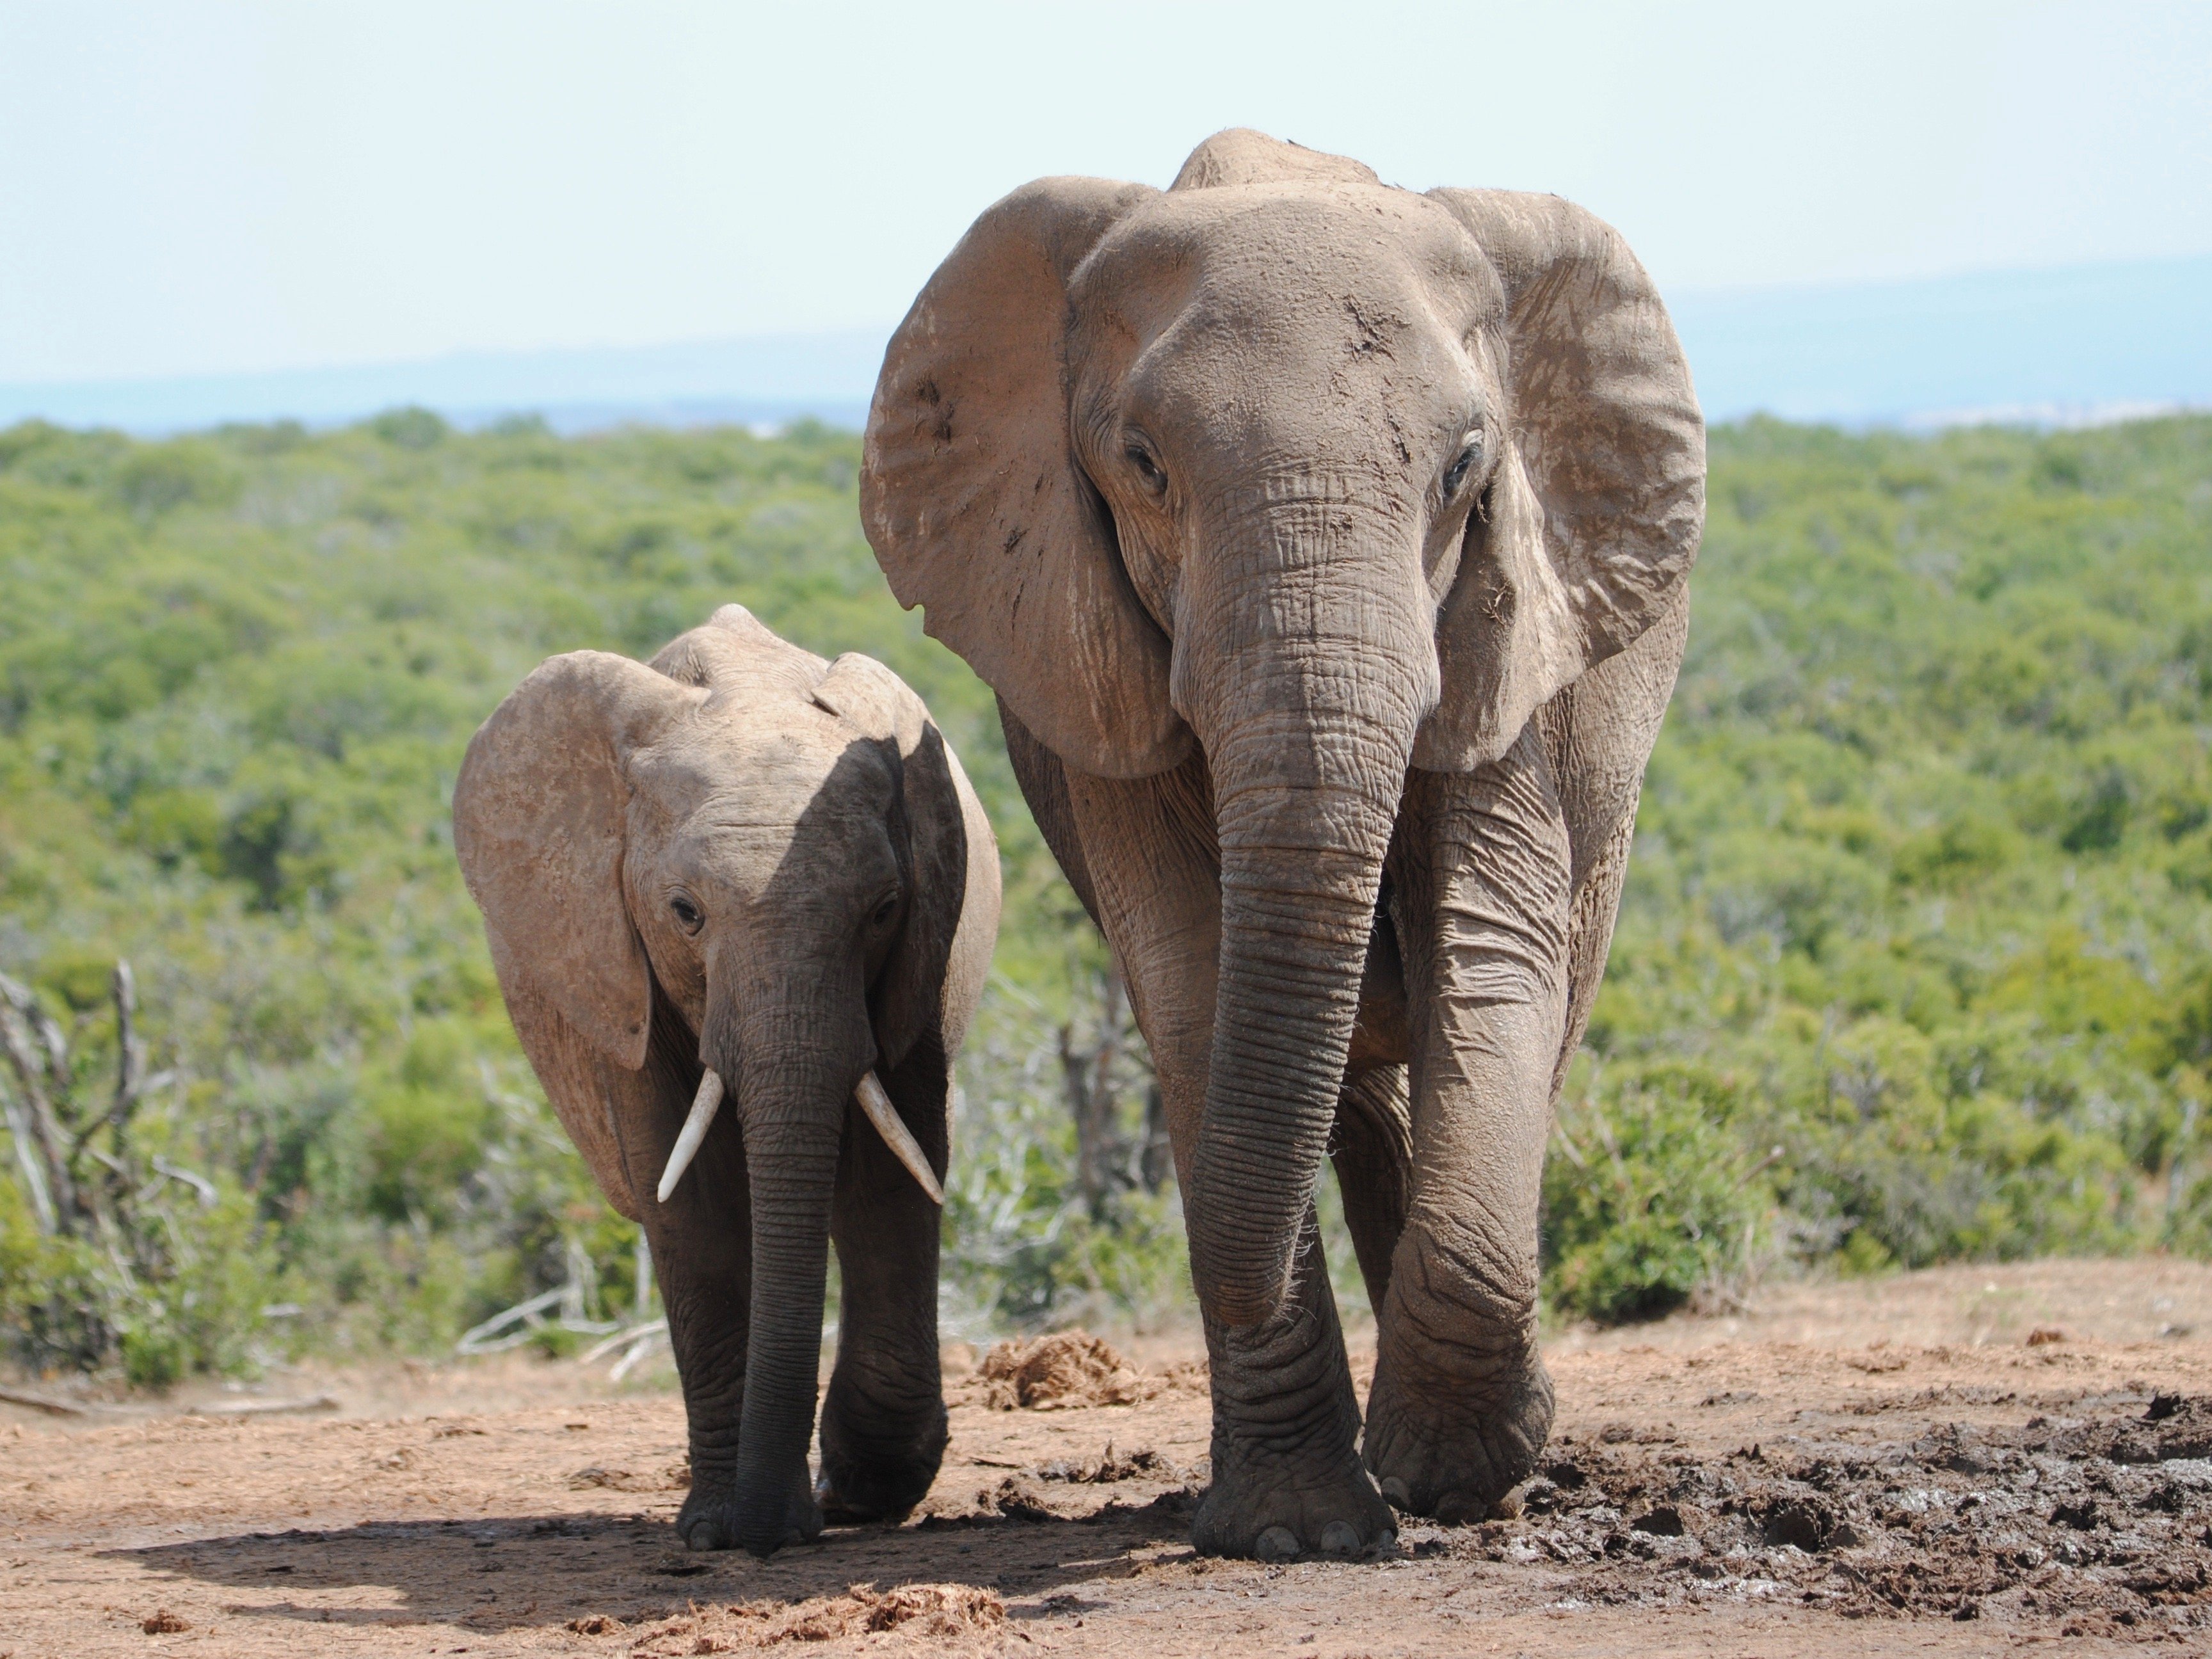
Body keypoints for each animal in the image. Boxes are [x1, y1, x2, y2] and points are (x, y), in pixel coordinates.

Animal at [453, 605, 1000, 1557]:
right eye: (685, 913)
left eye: (883, 911)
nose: (773, 1532)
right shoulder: (615, 966)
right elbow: (693, 1197)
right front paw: (717, 1530)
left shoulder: (923, 949)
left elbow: (893, 1172)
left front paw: (859, 1492)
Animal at [858, 126, 1690, 1557]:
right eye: (1143, 464)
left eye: (1466, 468)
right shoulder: (1093, 672)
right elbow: (1192, 978)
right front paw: (1299, 1530)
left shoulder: (1504, 638)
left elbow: (1492, 944)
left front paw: (1461, 1475)